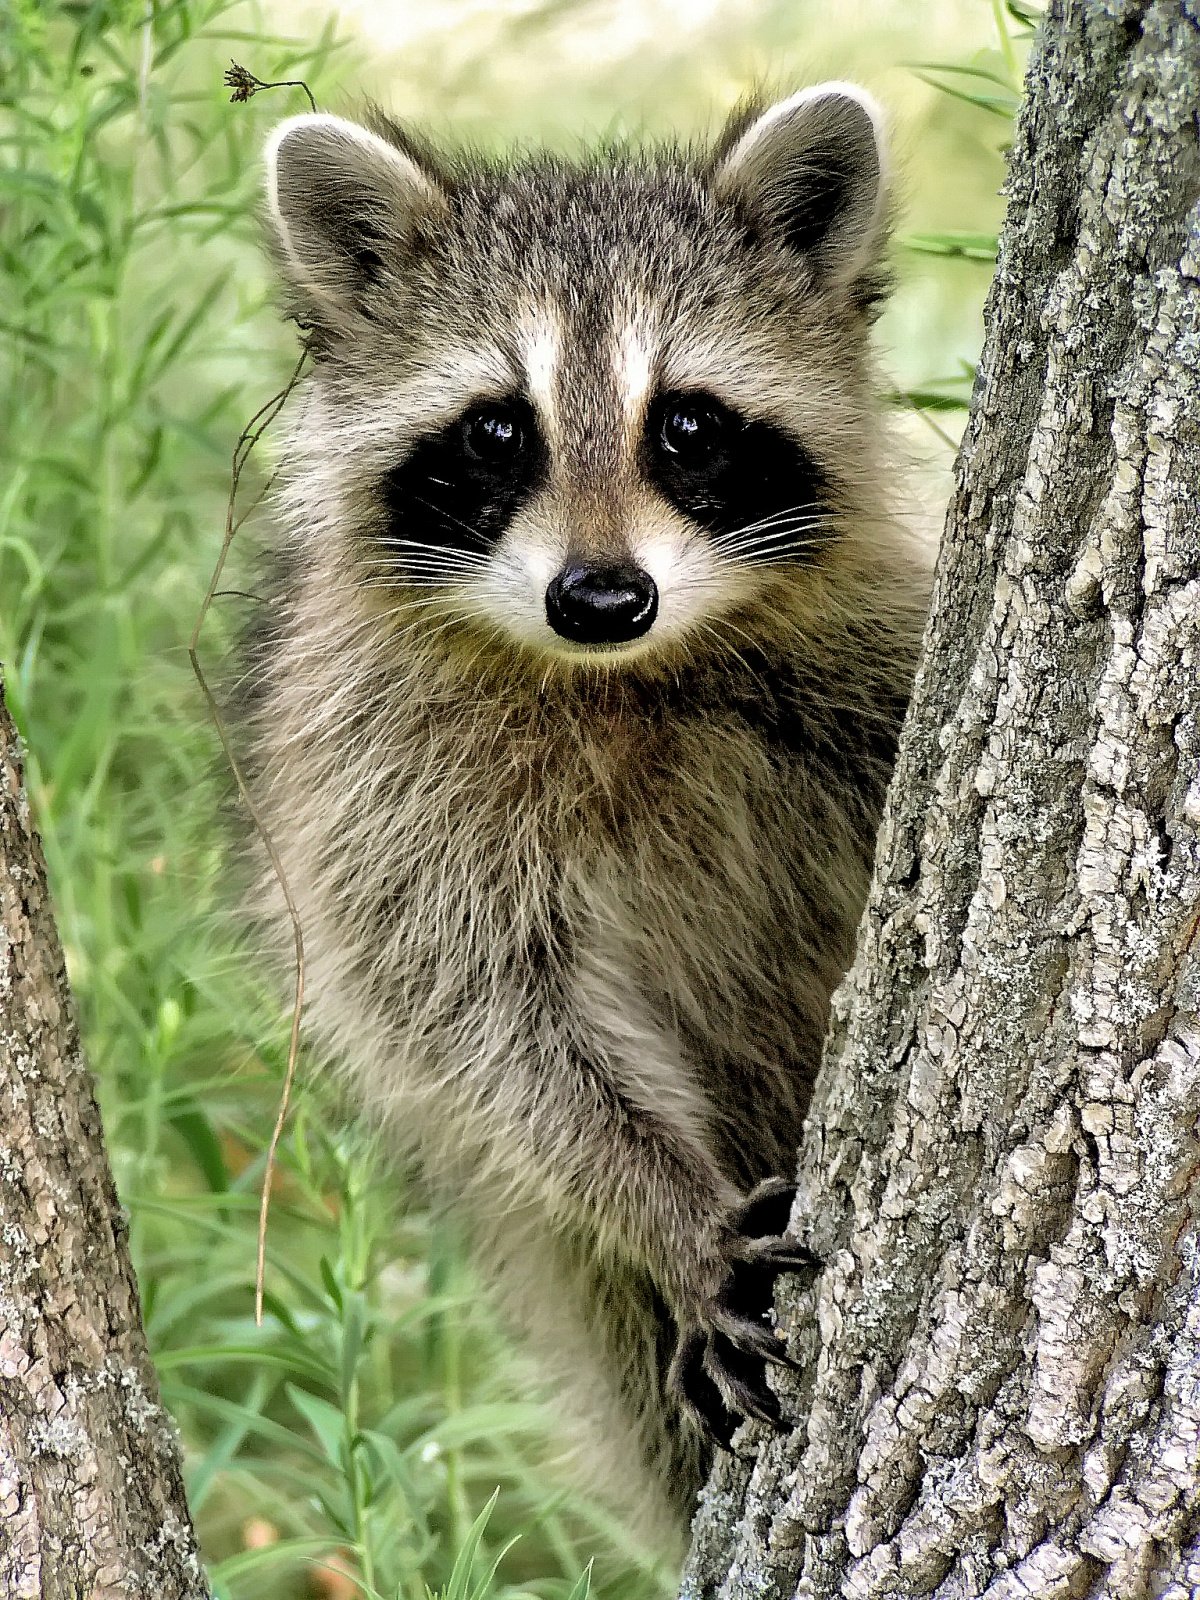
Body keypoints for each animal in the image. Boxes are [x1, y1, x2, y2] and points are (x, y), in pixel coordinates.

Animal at [242, 84, 931, 1551]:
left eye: (688, 425)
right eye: (497, 432)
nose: (603, 598)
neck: (620, 679)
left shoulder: (864, 649)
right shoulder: (378, 775)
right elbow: (482, 1013)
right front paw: (664, 1200)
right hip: (572, 1273)